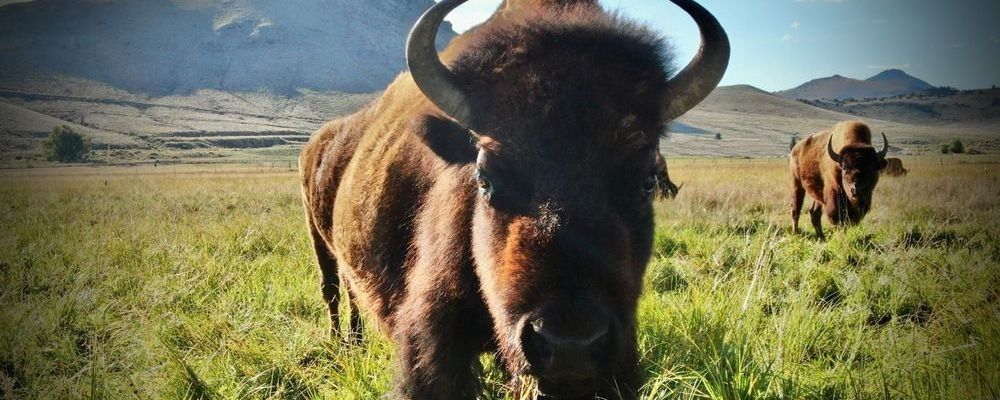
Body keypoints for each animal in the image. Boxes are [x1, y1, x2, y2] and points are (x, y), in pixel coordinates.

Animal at [299, 0, 729, 398]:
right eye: (485, 178)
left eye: (646, 181)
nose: (569, 346)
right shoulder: (433, 345)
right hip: (318, 239)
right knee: (332, 289)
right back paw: (342, 344)